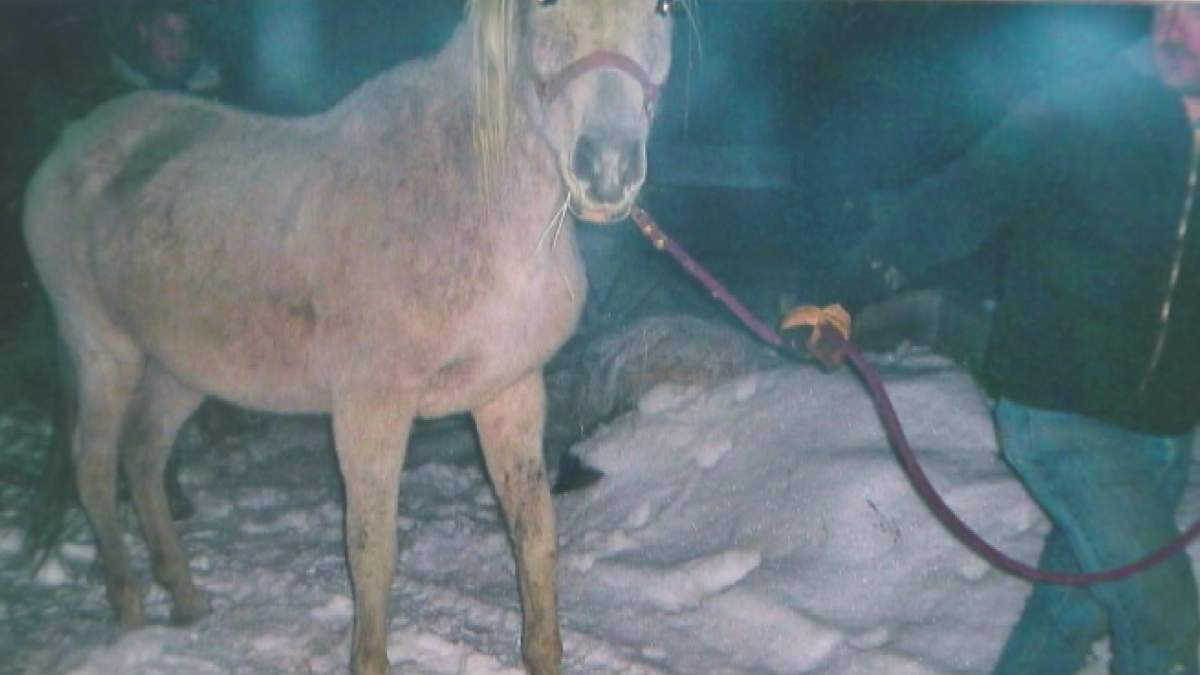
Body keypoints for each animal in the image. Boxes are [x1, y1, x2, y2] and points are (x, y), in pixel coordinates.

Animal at [22, 1, 676, 673]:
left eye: (662, 9)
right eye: (543, 9)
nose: (608, 170)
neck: (470, 200)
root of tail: (69, 146)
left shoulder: (510, 391)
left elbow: (535, 534)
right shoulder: (370, 407)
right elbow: (371, 551)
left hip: (179, 368)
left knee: (144, 455)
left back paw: (185, 598)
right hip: (103, 350)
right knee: (95, 467)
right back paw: (129, 607)